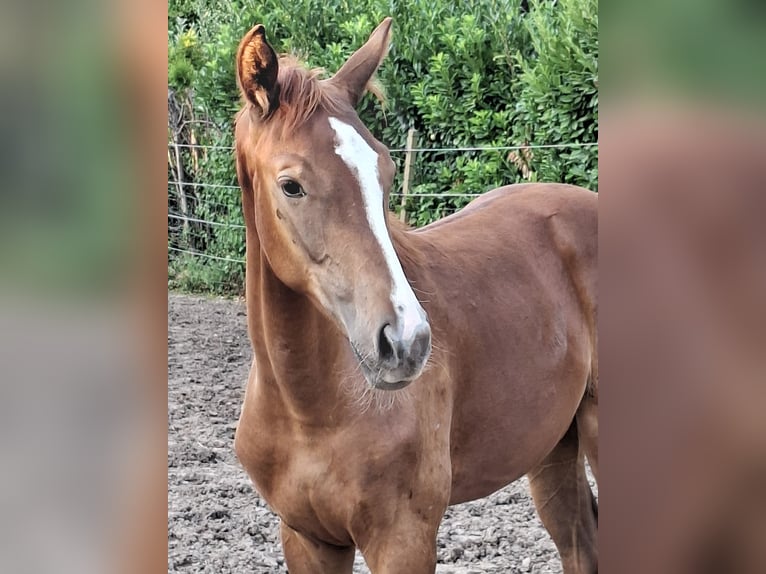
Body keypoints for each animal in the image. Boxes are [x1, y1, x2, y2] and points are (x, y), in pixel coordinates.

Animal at [232, 17, 598, 574]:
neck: (308, 412)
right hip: (555, 446)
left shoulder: (403, 538)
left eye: (384, 171)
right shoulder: (306, 537)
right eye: (290, 185)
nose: (406, 342)